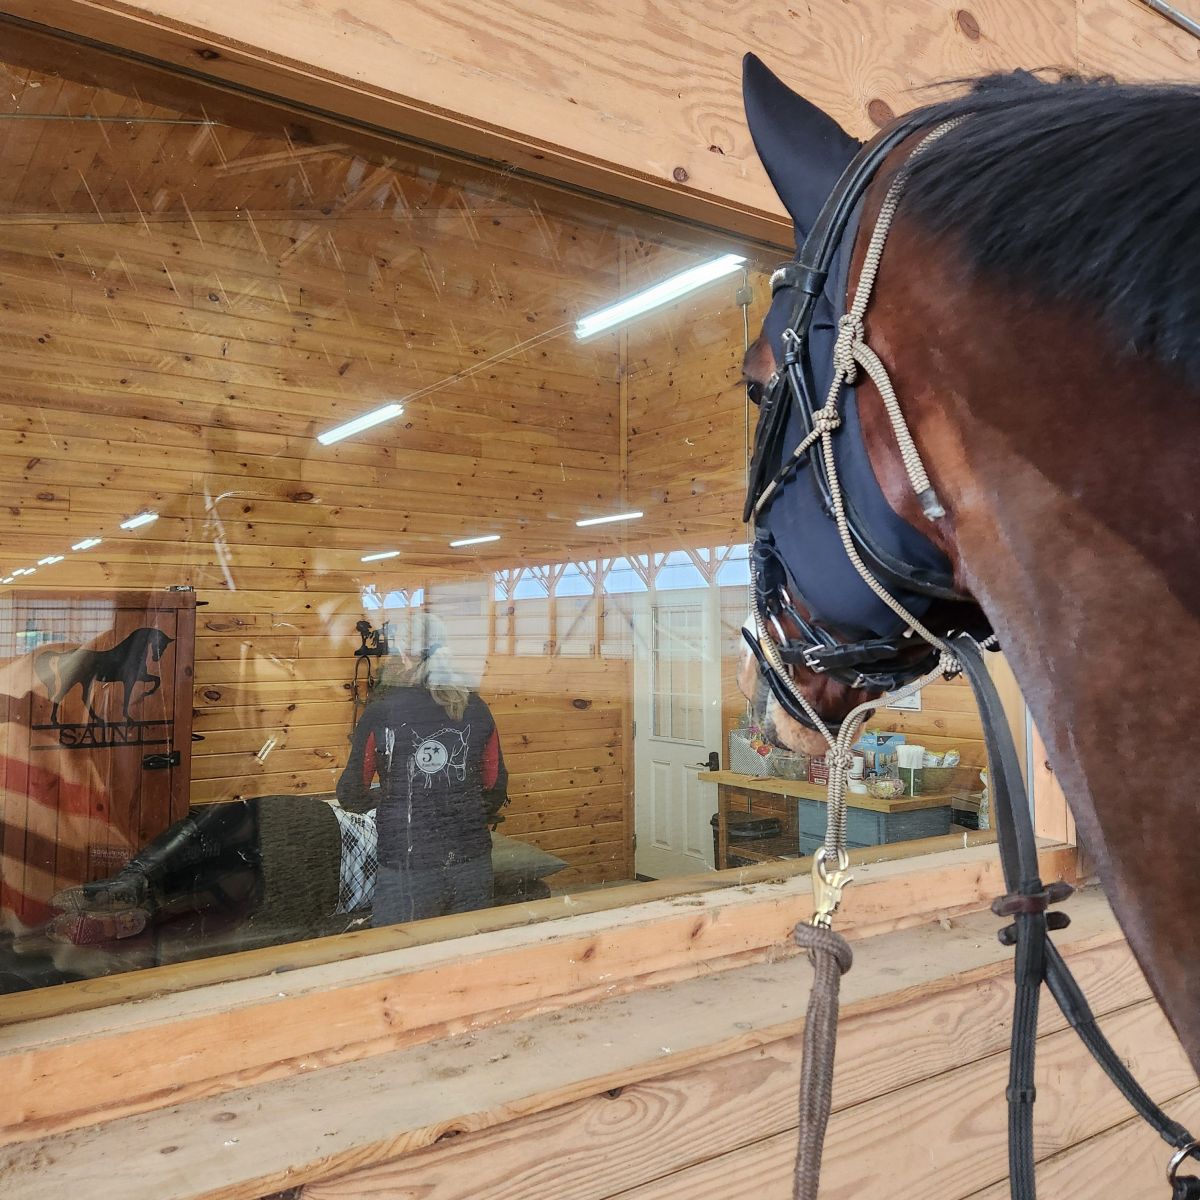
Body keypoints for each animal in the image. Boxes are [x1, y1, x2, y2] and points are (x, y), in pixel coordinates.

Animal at [34, 627, 174, 724]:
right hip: (72, 680)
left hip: (85, 681)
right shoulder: (130, 680)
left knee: (84, 697)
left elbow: (157, 680)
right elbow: (128, 696)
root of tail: (64, 655)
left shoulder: (141, 676)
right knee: (60, 696)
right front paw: (129, 716)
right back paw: (54, 720)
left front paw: (144, 694)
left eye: (165, 646)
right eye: (159, 642)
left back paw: (97, 718)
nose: (156, 658)